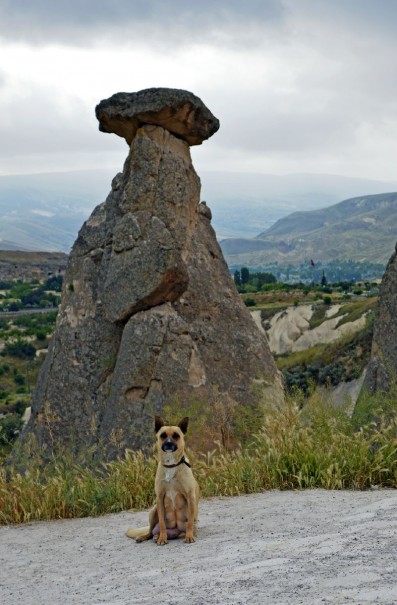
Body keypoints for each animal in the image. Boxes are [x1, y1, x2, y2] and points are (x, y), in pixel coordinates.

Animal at [126, 412, 198, 544]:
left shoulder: (190, 496)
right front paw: (163, 538)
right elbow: (162, 523)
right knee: (150, 531)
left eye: (176, 436)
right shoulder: (159, 497)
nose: (168, 443)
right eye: (163, 435)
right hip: (153, 511)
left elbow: (190, 522)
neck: (170, 465)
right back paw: (149, 536)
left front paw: (189, 536)